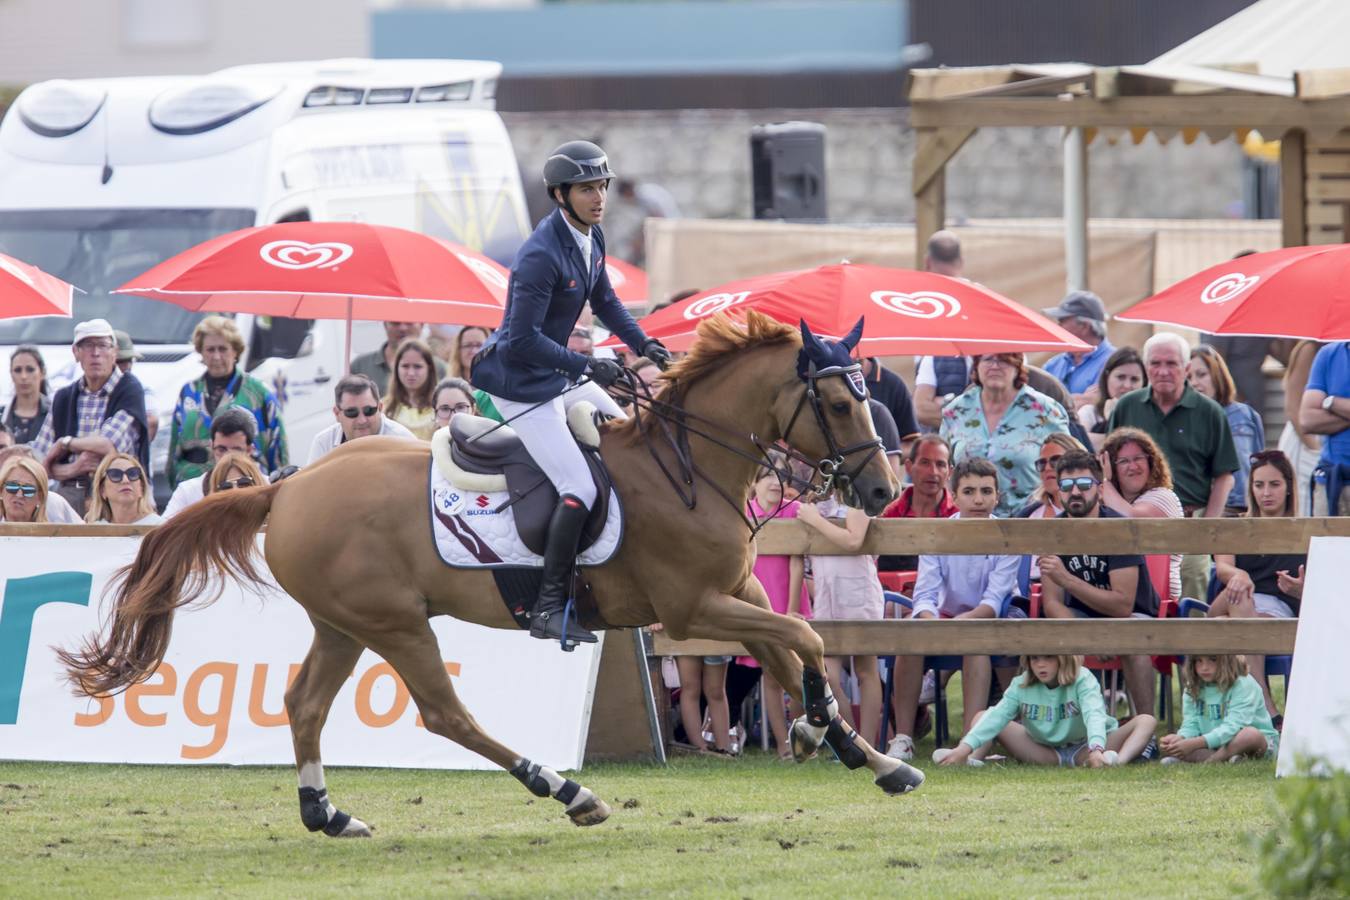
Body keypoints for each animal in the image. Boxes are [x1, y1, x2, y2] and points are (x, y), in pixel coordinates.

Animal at [63, 313, 928, 841]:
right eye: (839, 405)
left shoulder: (737, 593)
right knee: (446, 715)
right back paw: (568, 792)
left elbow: (791, 647)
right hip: (395, 623)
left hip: (343, 624)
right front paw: (832, 734)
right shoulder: (690, 609)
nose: (883, 491)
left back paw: (328, 814)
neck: (685, 467)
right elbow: (805, 636)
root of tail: (288, 485)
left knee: (304, 703)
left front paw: (858, 750)